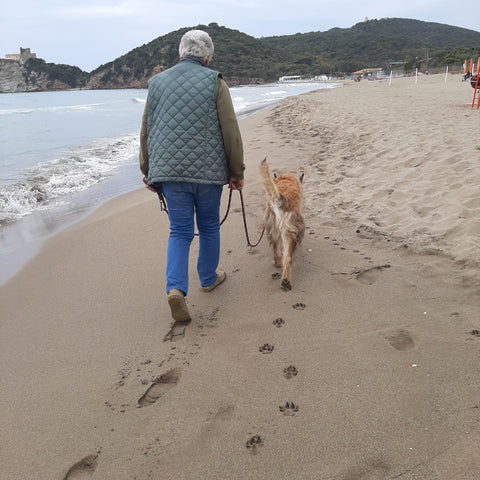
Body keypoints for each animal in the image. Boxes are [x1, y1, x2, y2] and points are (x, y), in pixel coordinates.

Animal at [260, 159, 306, 290]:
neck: (285, 179)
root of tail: (282, 200)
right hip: (291, 230)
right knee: (288, 257)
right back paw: (286, 281)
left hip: (272, 226)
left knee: (276, 250)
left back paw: (278, 264)